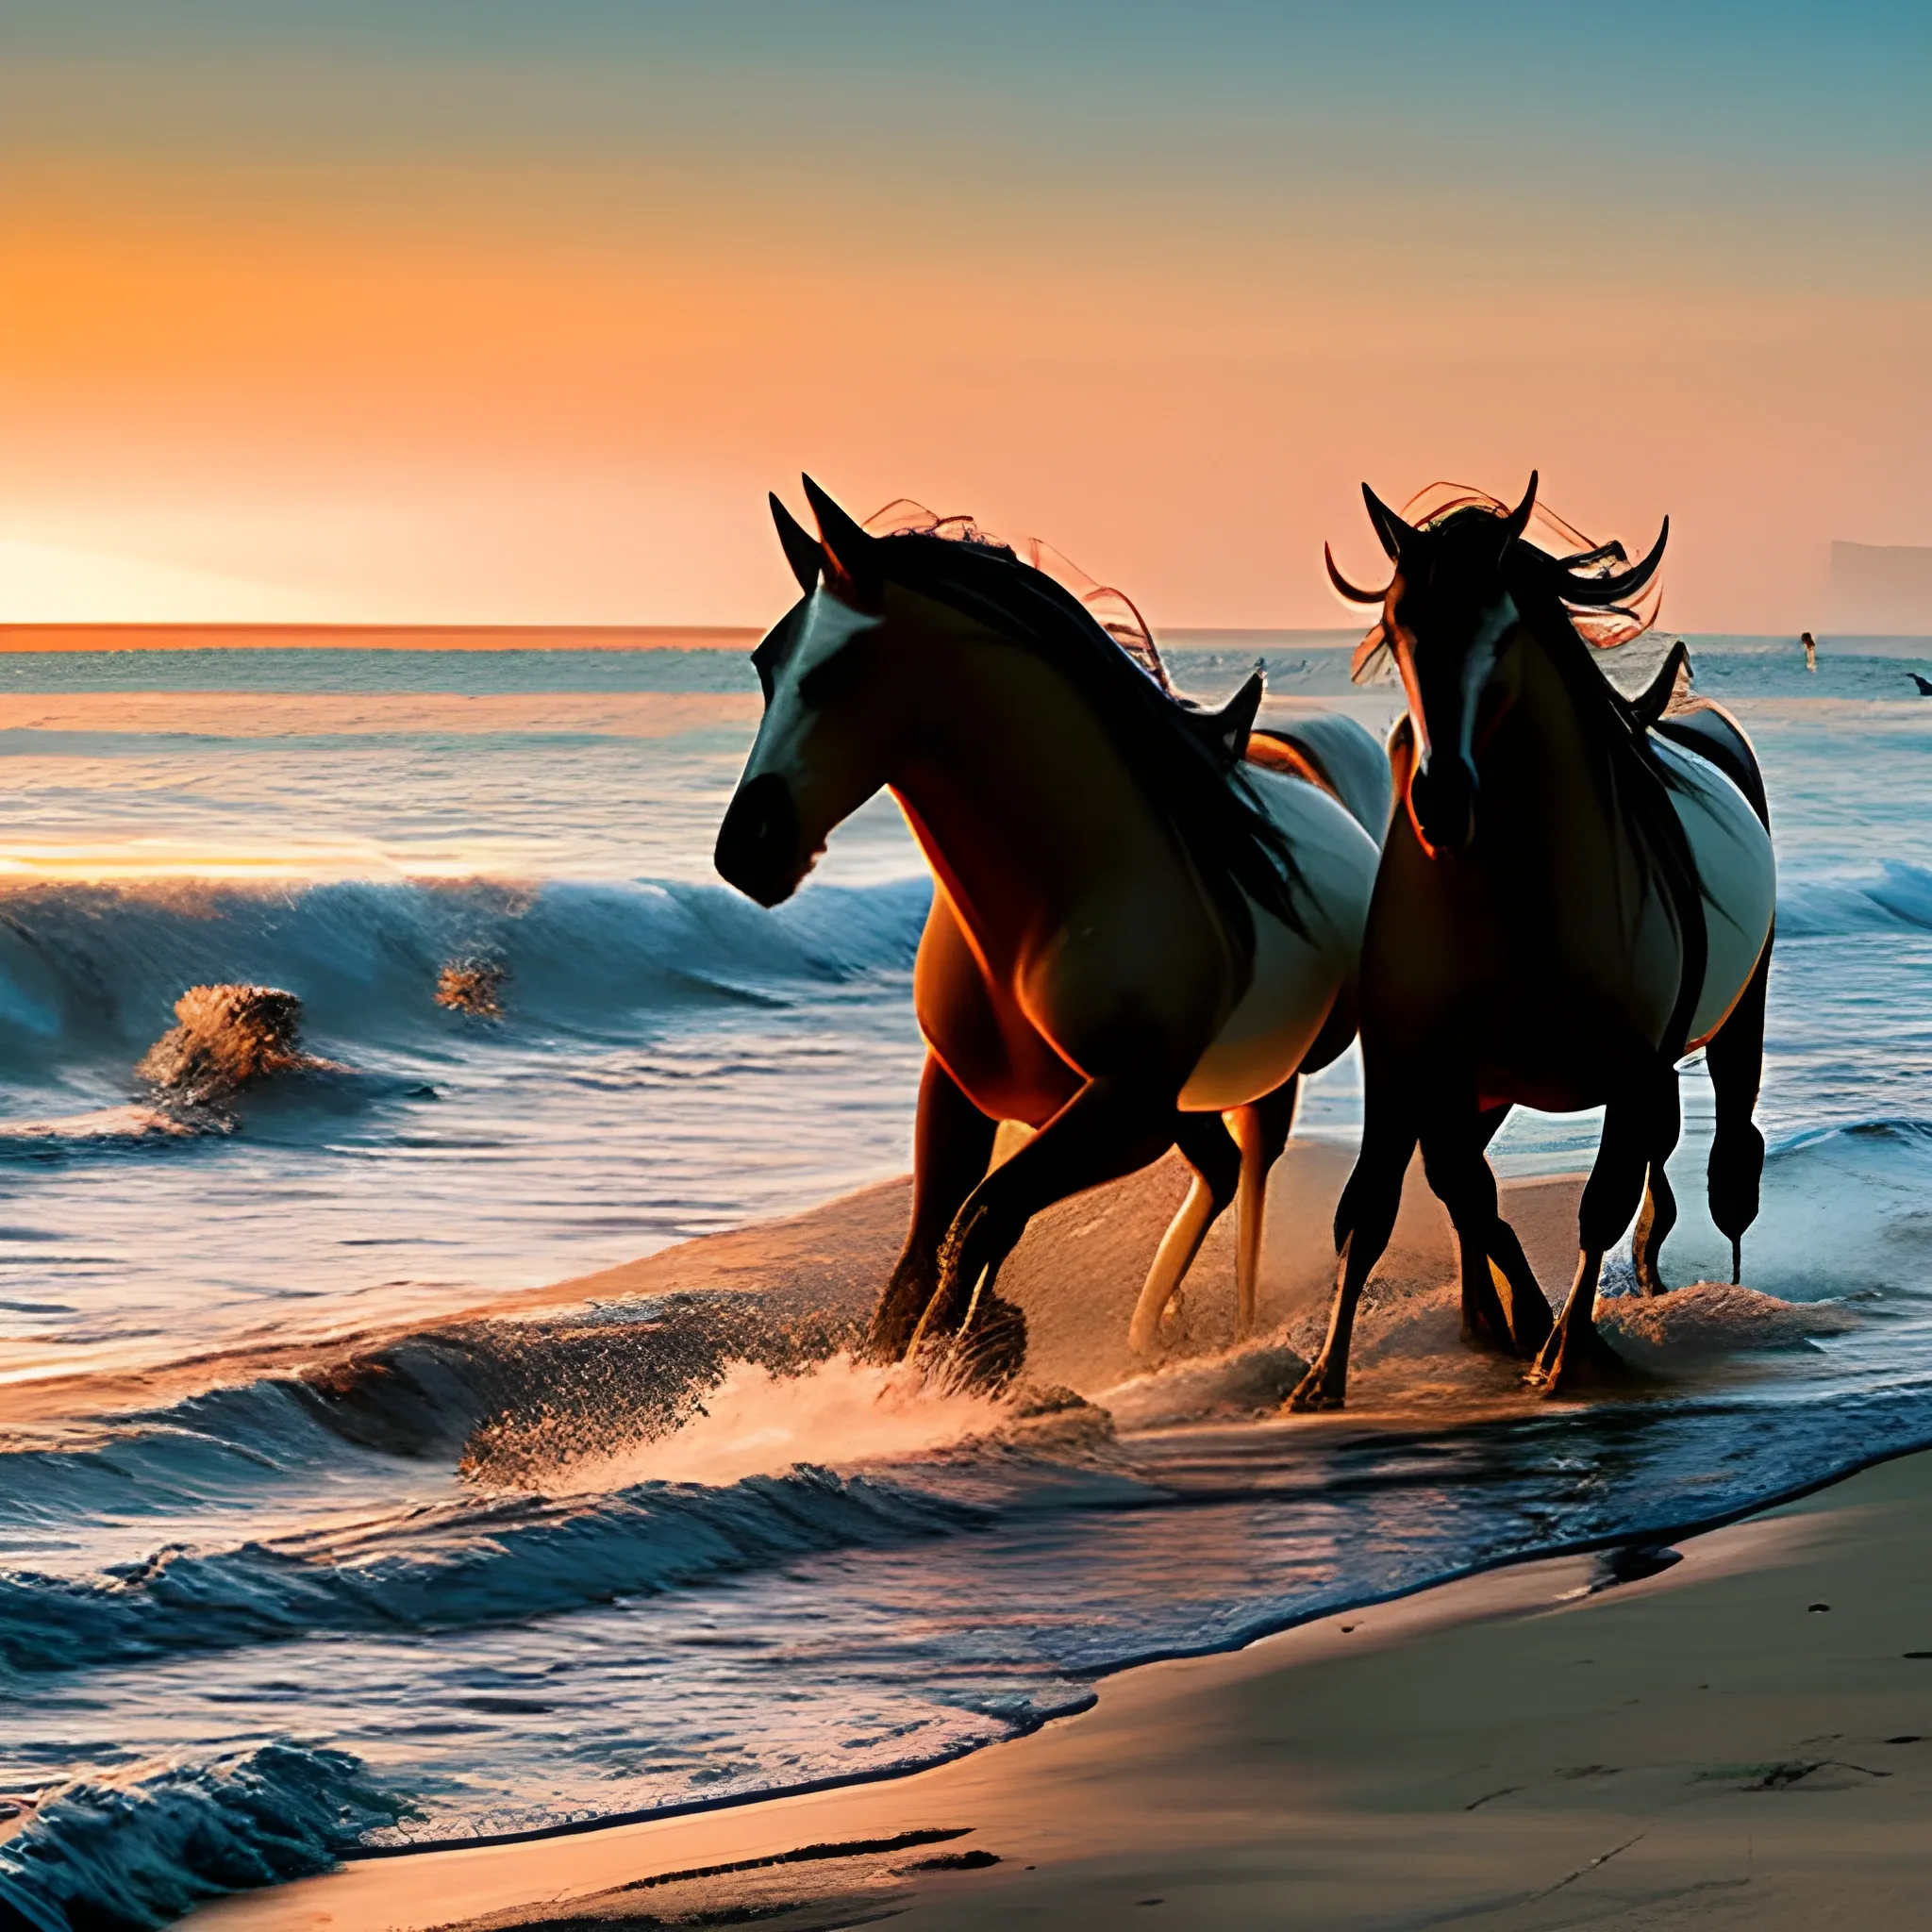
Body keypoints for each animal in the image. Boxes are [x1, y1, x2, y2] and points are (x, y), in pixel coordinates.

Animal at [710, 487, 1391, 1391]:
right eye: (765, 664)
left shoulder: (1127, 1108)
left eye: (839, 672)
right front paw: (901, 1374)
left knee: (1254, 1177)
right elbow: (924, 1254)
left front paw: (934, 1381)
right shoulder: (964, 1092)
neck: (1046, 911)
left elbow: (982, 1220)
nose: (746, 848)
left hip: (1266, 1082)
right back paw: (1157, 1332)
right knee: (1219, 1170)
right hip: (1188, 1105)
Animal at [1291, 473, 1769, 1398]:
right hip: (1489, 1083)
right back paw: (1491, 1316)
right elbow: (1413, 1198)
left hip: (1739, 1018)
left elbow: (1599, 1199)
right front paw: (1325, 1377)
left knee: (1724, 1142)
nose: (1441, 802)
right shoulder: (1413, 1064)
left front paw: (1565, 1350)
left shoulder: (1634, 1065)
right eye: (1396, 625)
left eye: (1502, 630)